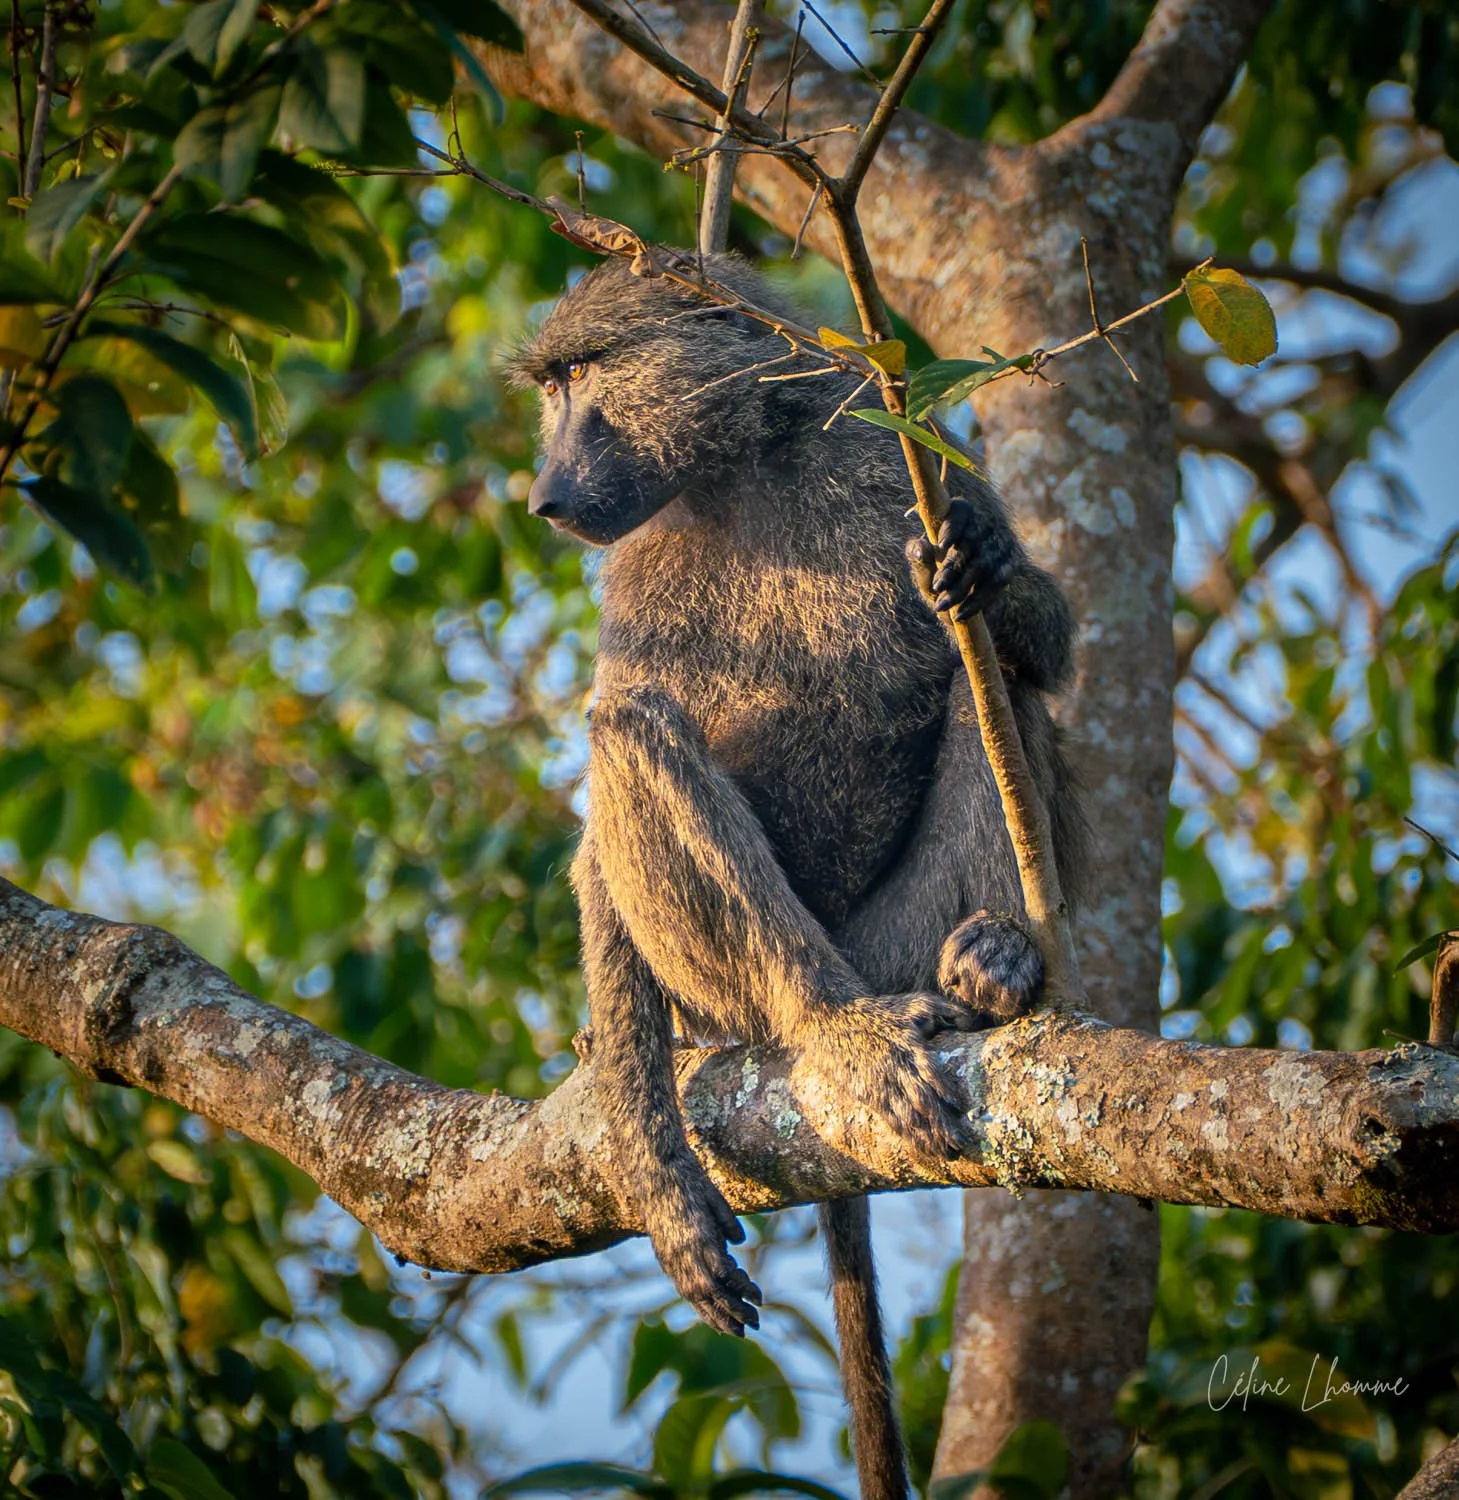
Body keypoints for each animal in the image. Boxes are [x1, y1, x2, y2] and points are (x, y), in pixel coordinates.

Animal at [510, 253, 1088, 1500]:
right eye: (553, 385)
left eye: (582, 374)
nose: (542, 498)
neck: (742, 463)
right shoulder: (630, 587)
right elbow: (598, 845)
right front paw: (663, 1187)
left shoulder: (896, 450)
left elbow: (1046, 644)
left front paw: (983, 569)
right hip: (755, 985)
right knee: (631, 727)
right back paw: (832, 1031)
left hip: (892, 938)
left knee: (993, 687)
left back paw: (993, 964)